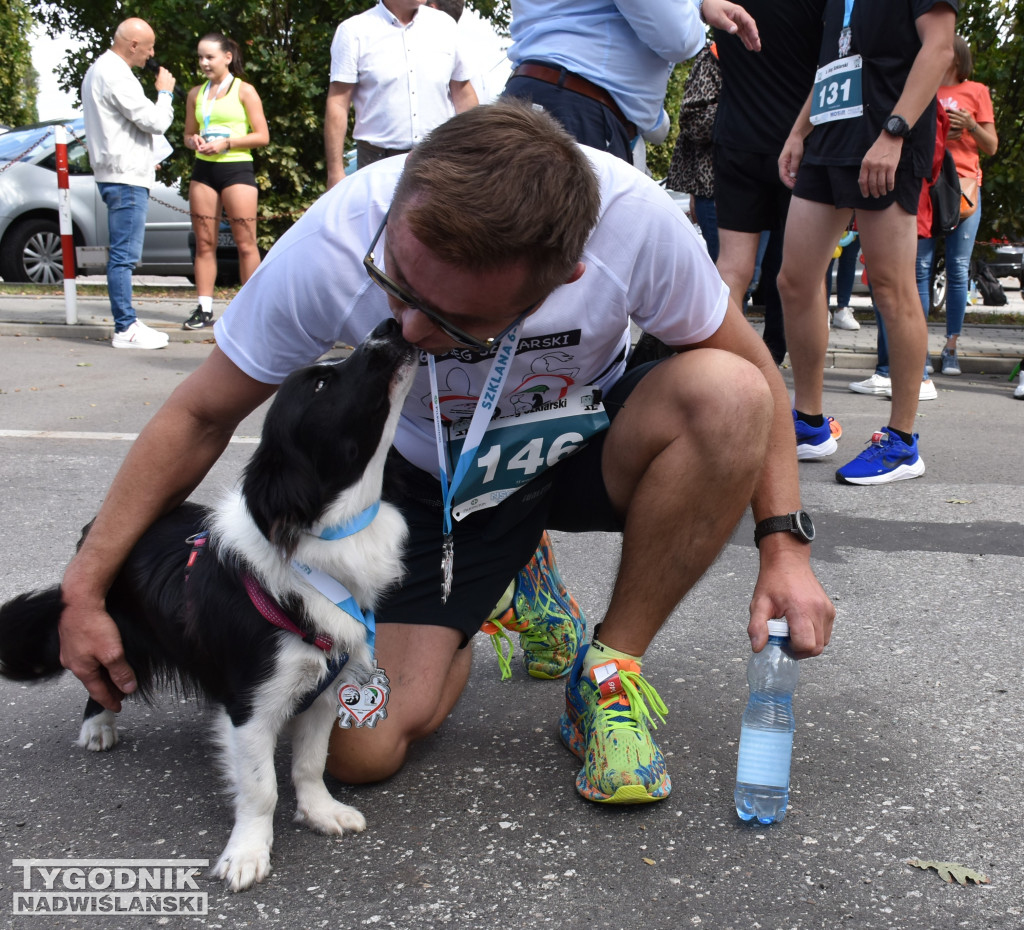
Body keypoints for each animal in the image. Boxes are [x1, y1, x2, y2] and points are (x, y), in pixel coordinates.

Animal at [1, 317, 415, 893]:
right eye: (320, 384)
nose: (391, 323)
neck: (324, 536)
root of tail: (98, 526)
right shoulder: (250, 702)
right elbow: (260, 787)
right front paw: (247, 853)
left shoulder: (325, 688)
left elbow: (310, 763)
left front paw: (320, 812)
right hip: (113, 634)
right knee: (98, 675)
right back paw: (98, 726)